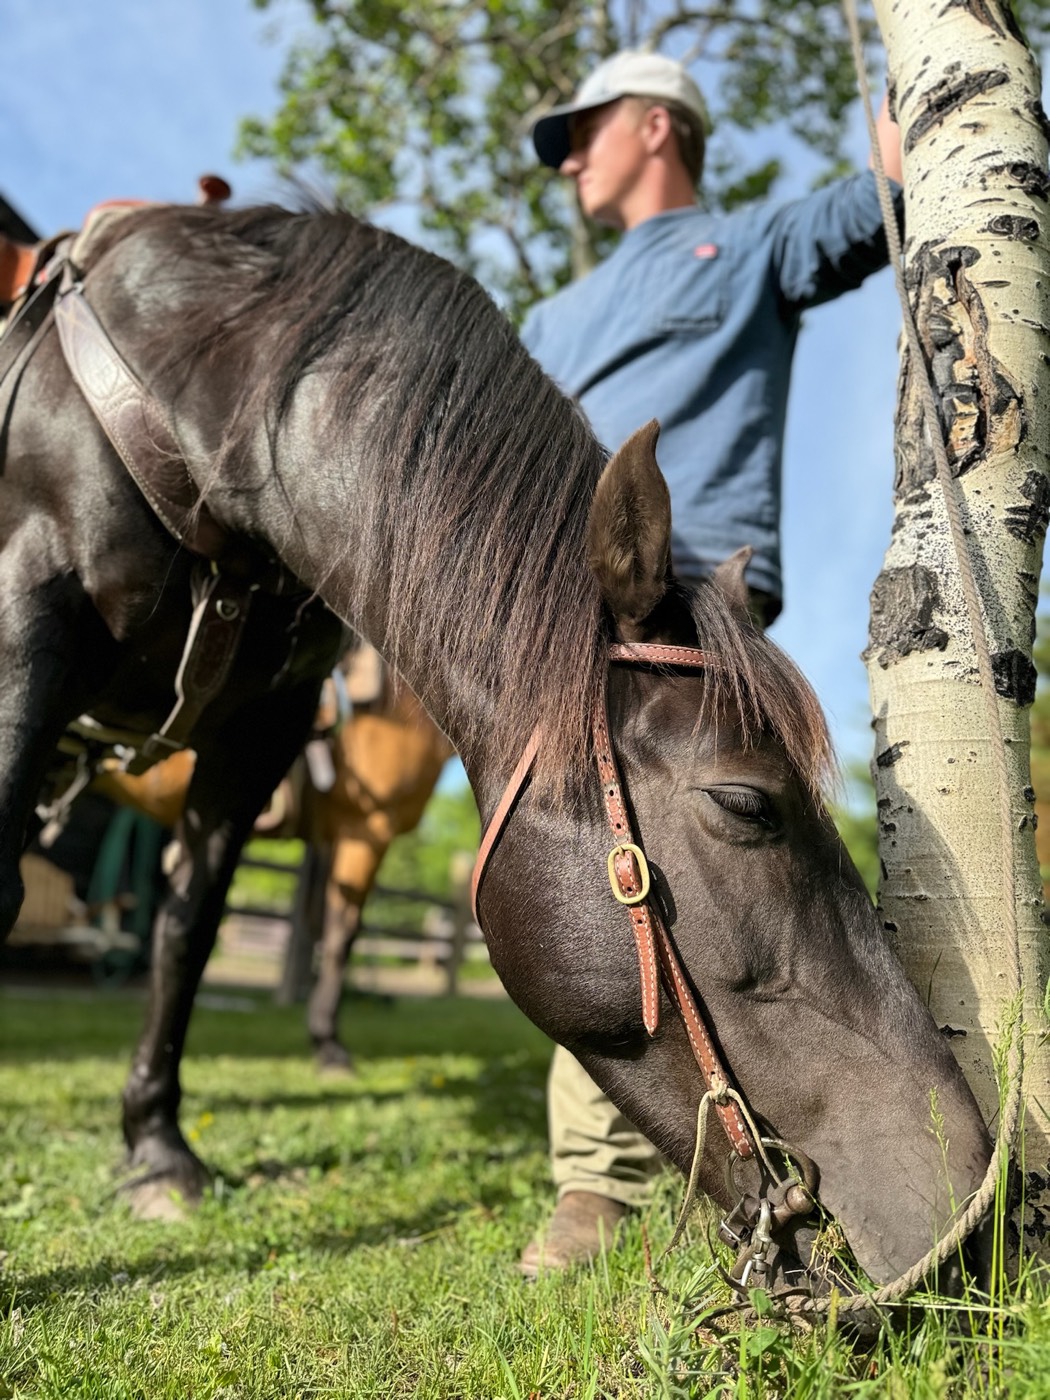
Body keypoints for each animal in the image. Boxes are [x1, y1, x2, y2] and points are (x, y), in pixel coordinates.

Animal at [0, 199, 990, 1290]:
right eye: (745, 803)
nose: (966, 1191)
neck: (192, 408)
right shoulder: (25, 623)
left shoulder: (260, 731)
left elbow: (190, 928)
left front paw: (159, 1148)